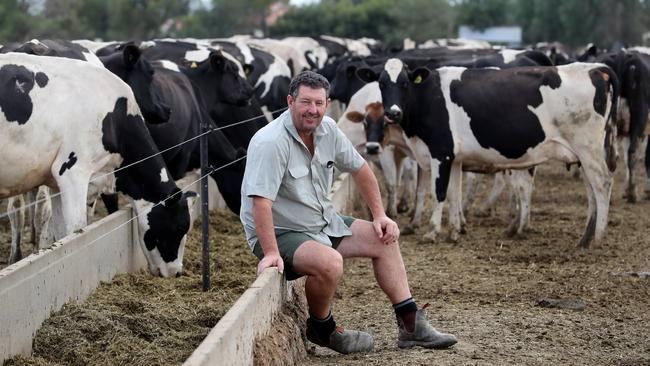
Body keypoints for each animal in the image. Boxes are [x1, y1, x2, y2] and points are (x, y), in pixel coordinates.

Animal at [0, 53, 194, 278]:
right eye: (180, 227)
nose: (177, 272)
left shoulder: (56, 184)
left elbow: (57, 234)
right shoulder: (72, 172)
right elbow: (75, 230)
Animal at [360, 60, 616, 247]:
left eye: (405, 83)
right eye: (381, 83)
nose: (392, 113)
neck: (427, 98)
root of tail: (594, 68)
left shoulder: (441, 153)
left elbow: (439, 192)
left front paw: (432, 231)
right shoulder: (454, 159)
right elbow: (455, 193)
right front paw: (454, 231)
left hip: (589, 148)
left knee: (602, 184)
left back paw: (598, 238)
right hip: (582, 155)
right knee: (592, 191)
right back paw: (585, 238)